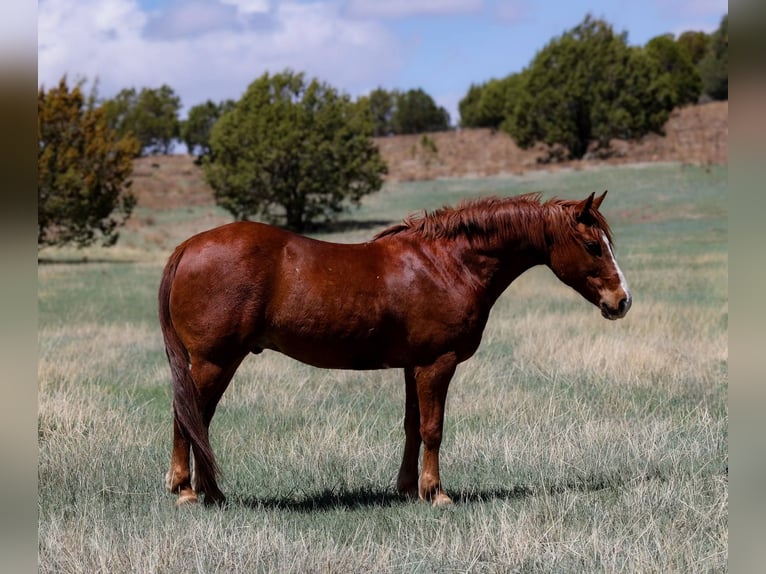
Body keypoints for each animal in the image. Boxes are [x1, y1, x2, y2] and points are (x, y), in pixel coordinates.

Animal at [159, 191, 631, 506]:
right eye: (593, 246)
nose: (622, 301)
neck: (446, 264)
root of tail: (187, 247)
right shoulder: (437, 364)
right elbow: (433, 428)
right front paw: (436, 493)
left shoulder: (412, 366)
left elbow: (411, 425)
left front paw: (407, 488)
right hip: (213, 362)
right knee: (188, 419)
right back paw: (186, 491)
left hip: (220, 362)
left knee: (198, 421)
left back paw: (211, 492)